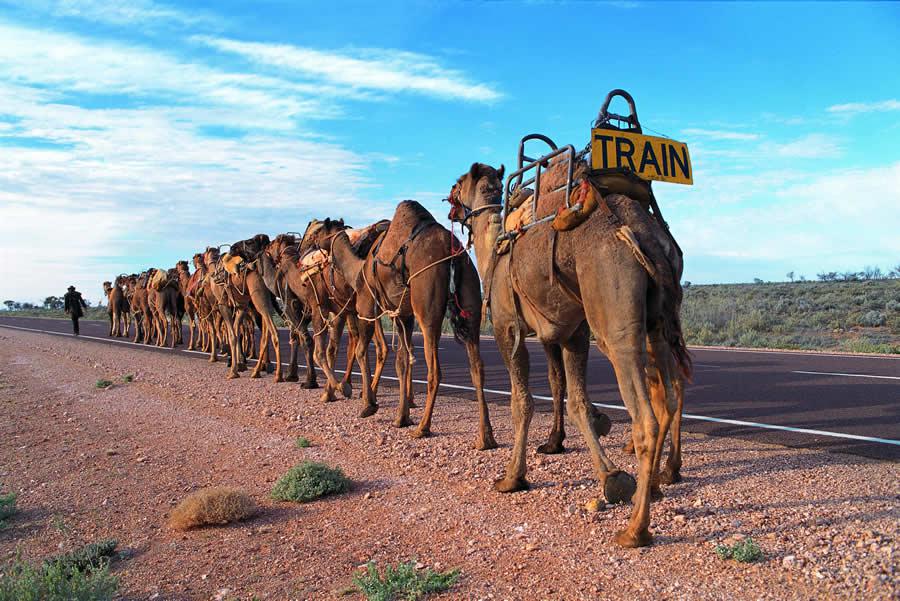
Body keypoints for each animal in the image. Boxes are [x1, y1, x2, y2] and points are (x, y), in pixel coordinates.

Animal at [324, 199, 496, 448]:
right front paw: (401, 417)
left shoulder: (367, 303)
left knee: (435, 369)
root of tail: (452, 250)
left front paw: (369, 406)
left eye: (316, 231)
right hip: (471, 294)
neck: (359, 267)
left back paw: (423, 427)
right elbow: (402, 362)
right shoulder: (402, 315)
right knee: (477, 366)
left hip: (427, 305)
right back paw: (486, 438)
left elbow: (361, 351)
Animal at [448, 162, 688, 548]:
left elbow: (522, 402)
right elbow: (571, 397)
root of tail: (642, 231)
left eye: (458, 183)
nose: (450, 201)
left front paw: (511, 478)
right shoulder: (569, 333)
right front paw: (603, 471)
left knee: (646, 416)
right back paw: (655, 485)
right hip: (660, 322)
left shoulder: (508, 329)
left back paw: (635, 530)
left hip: (614, 315)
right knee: (671, 395)